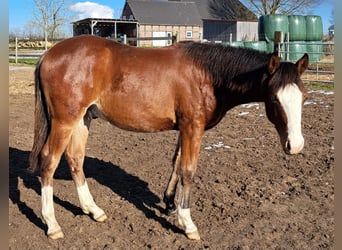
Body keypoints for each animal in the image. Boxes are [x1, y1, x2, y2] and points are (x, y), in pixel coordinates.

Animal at [28, 35, 308, 240]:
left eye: (304, 97)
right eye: (274, 99)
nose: (295, 145)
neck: (207, 74)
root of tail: (49, 55)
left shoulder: (184, 128)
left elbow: (176, 163)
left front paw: (170, 203)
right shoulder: (193, 127)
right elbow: (188, 169)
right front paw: (187, 222)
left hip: (83, 119)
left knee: (75, 159)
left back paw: (93, 210)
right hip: (65, 121)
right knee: (49, 162)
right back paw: (52, 225)